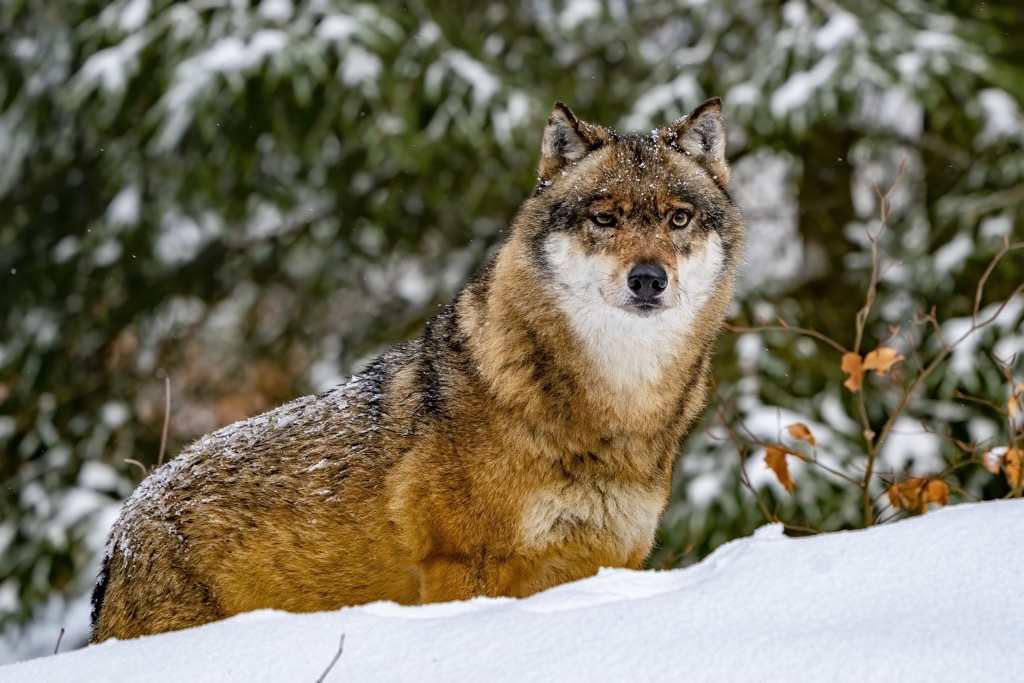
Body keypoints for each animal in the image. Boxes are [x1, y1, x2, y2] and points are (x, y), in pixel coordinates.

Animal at [91, 97, 745, 641]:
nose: (648, 279)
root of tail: (121, 531)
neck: (615, 415)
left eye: (679, 219)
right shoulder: (461, 564)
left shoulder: (609, 563)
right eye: (605, 218)